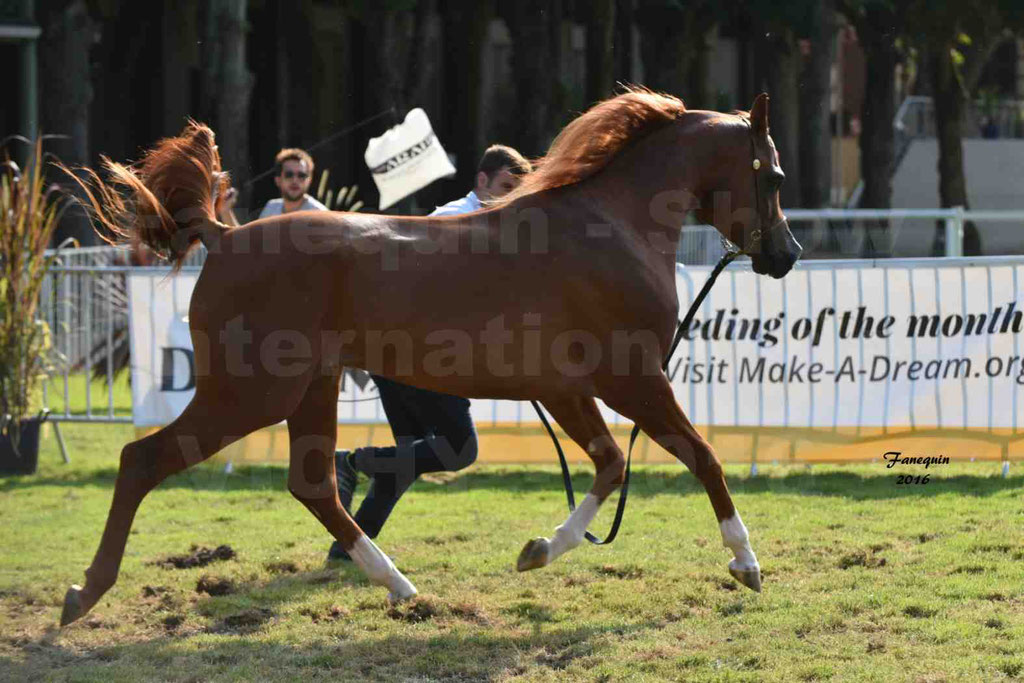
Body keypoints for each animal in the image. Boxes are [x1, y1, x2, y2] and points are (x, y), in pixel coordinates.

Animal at [61, 89, 798, 626]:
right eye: (774, 173)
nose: (786, 255)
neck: (610, 229)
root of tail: (224, 236)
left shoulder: (567, 386)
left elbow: (612, 463)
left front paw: (537, 551)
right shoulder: (632, 377)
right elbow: (700, 455)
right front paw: (746, 564)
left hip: (310, 387)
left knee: (314, 482)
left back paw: (399, 584)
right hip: (249, 393)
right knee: (143, 459)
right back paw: (83, 593)